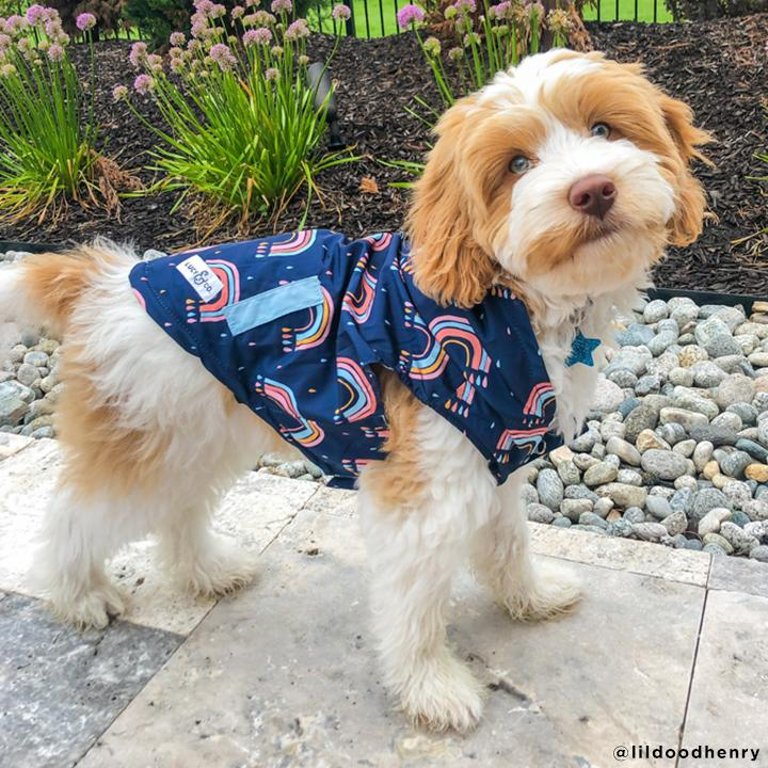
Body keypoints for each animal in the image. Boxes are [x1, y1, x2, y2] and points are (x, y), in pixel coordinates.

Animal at [0, 48, 708, 732]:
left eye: (604, 129)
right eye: (516, 165)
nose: (593, 189)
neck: (506, 303)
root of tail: (104, 277)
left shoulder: (494, 452)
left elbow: (509, 541)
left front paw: (529, 599)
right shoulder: (425, 487)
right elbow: (414, 601)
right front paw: (432, 688)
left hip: (195, 437)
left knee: (178, 511)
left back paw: (208, 573)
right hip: (139, 443)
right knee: (73, 517)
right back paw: (80, 594)